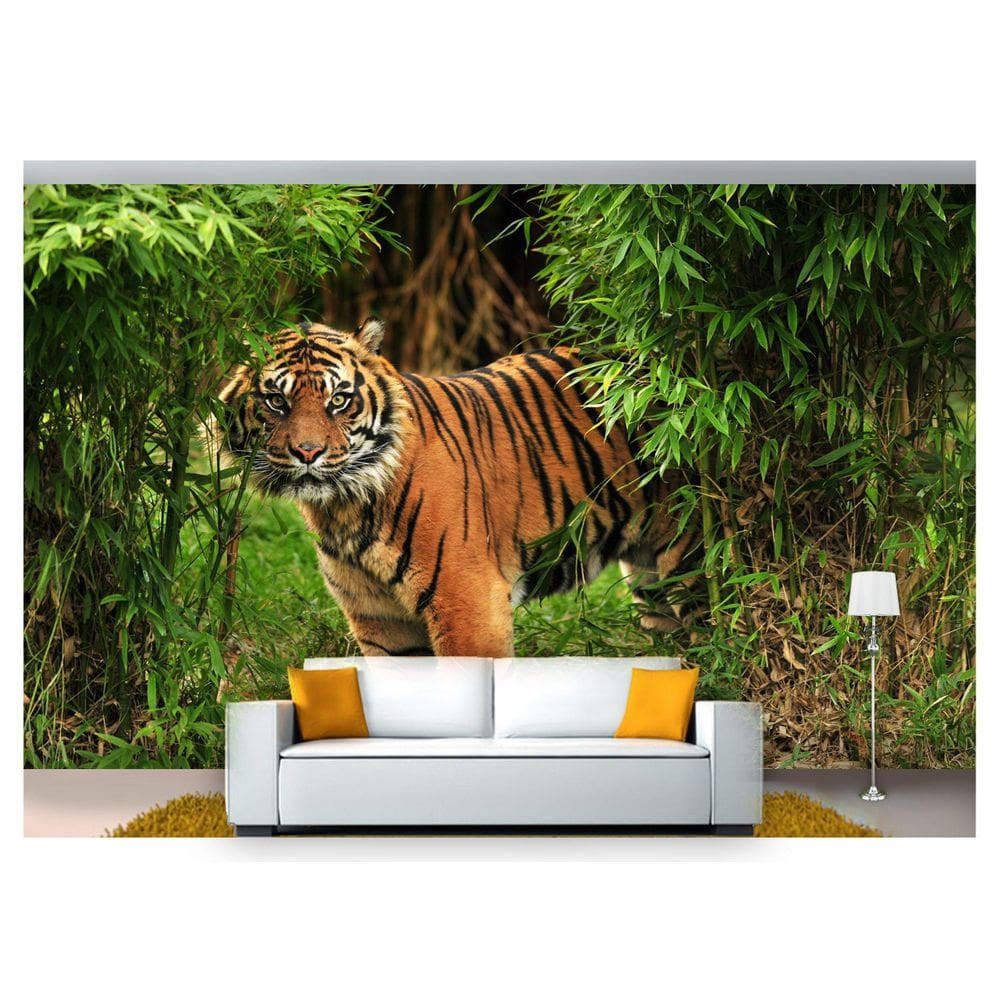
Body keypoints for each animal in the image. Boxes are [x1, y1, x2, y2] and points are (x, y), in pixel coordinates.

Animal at [214, 319, 690, 658]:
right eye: (276, 401)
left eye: (339, 400)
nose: (308, 452)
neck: (344, 507)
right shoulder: (380, 619)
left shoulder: (469, 602)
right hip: (650, 582)